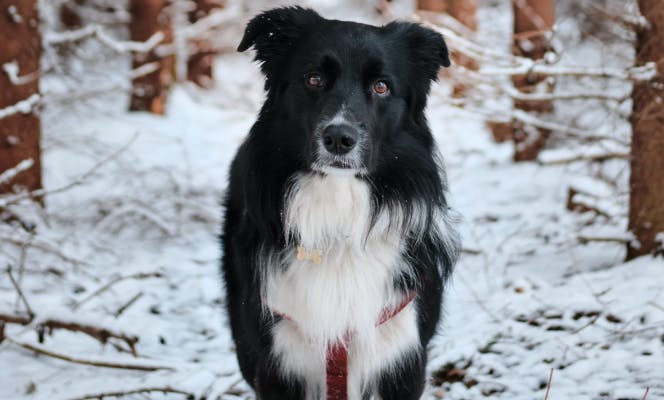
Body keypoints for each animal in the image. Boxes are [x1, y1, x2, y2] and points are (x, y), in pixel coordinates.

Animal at [220, 7, 460, 400]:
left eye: (381, 86)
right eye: (314, 79)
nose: (339, 138)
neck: (337, 209)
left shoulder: (403, 359)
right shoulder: (277, 363)